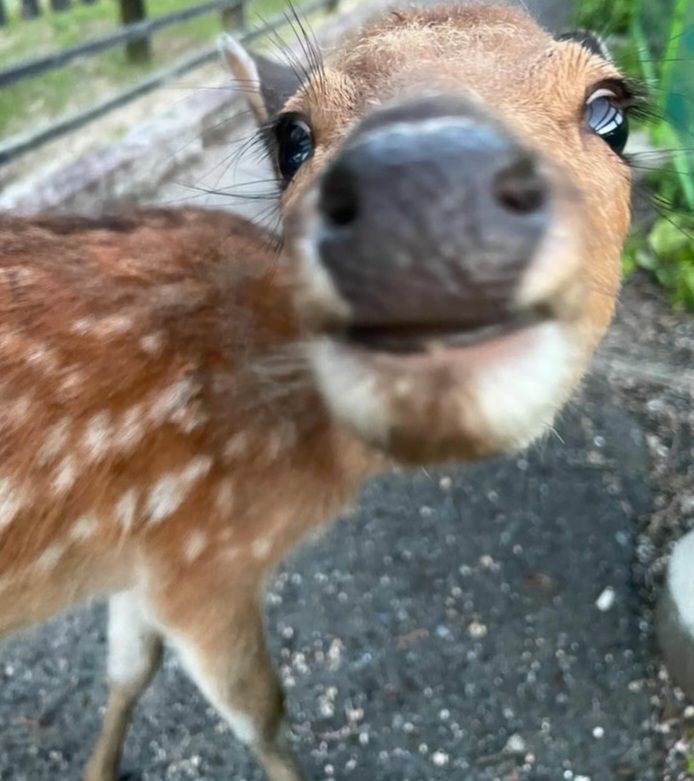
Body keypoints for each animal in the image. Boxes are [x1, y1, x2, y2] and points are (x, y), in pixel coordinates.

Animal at [0, 3, 637, 779]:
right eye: (292, 137)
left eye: (610, 110)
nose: (426, 185)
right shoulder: (204, 555)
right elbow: (263, 712)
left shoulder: (143, 552)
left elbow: (129, 669)